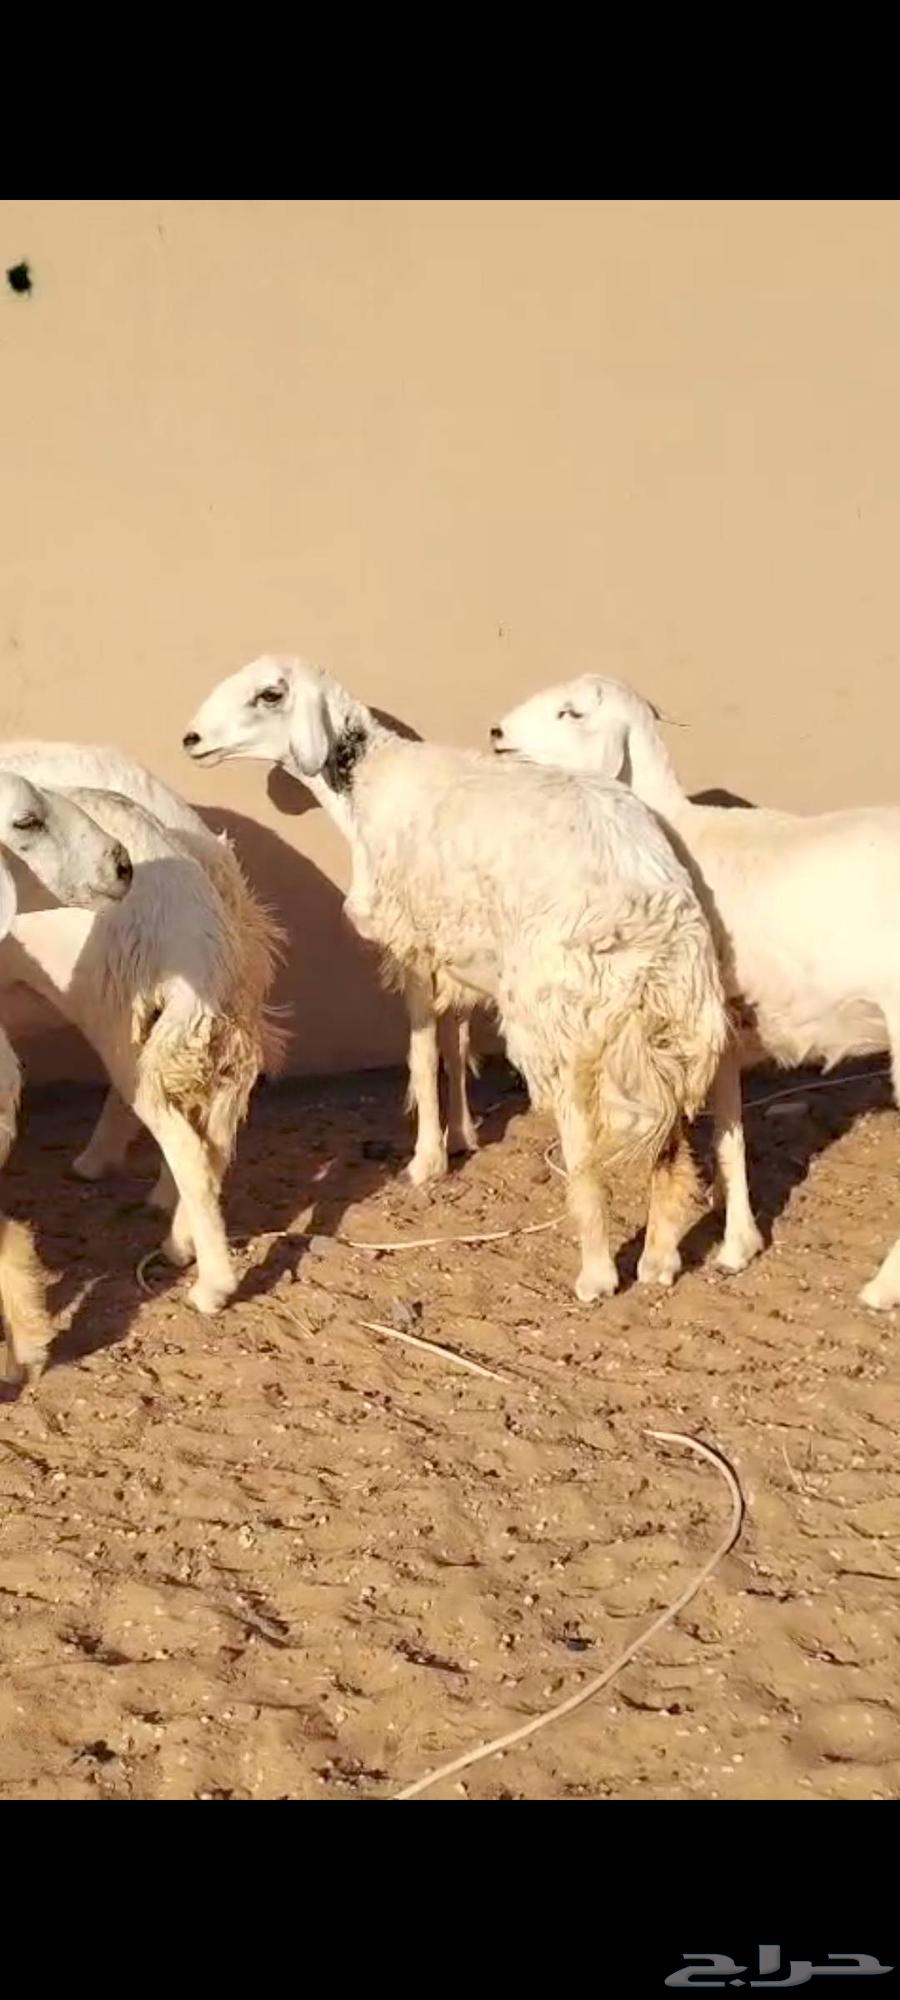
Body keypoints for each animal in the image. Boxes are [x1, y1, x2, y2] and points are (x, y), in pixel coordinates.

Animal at [182, 656, 730, 1303]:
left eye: (269, 695)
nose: (190, 739)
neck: (368, 786)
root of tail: (651, 922)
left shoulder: (414, 945)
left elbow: (421, 1056)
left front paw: (426, 1161)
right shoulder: (459, 951)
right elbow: (455, 1041)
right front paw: (463, 1134)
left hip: (564, 1024)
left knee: (585, 1147)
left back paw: (596, 1274)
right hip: (666, 1034)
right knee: (669, 1143)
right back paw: (660, 1259)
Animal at [493, 673, 900, 1307]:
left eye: (572, 712)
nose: (497, 734)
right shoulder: (722, 1031)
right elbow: (730, 1136)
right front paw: (739, 1246)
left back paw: (881, 1290)